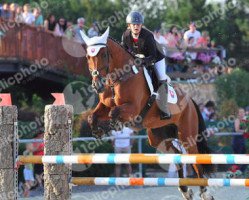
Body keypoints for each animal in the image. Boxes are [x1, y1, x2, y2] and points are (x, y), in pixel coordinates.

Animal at [80, 27, 215, 200]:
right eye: (88, 57)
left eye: (103, 54)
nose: (97, 86)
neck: (120, 77)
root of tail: (190, 100)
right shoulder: (104, 105)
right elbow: (93, 116)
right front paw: (98, 130)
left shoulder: (133, 109)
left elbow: (114, 113)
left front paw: (114, 125)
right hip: (158, 137)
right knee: (177, 154)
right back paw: (185, 190)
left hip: (187, 135)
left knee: (196, 160)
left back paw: (205, 192)